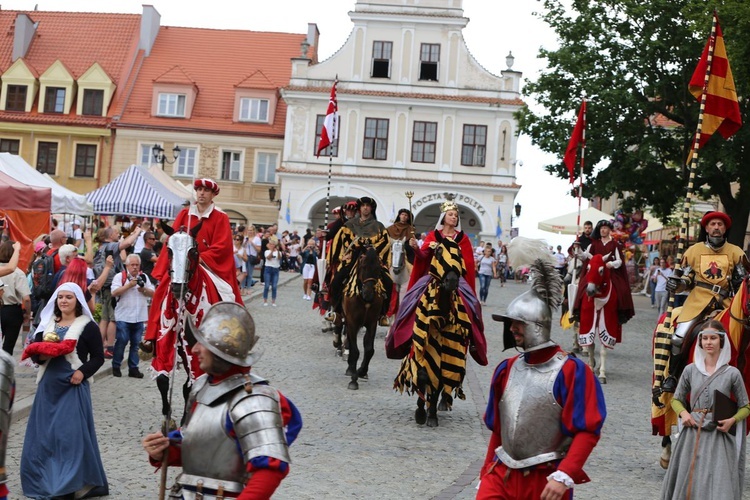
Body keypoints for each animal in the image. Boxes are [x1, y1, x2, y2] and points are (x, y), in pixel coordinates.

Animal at [342, 245, 384, 390]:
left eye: (378, 268)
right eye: (363, 266)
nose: (369, 295)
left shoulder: (372, 323)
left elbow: (369, 349)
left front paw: (362, 371)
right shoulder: (352, 322)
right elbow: (355, 351)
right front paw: (353, 380)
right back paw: (350, 367)